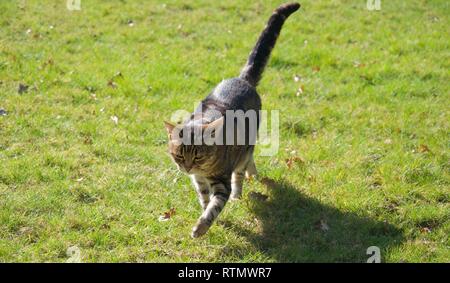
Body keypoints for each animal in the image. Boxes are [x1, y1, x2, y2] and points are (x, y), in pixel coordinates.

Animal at [163, 2, 300, 239]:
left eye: (198, 156)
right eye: (179, 155)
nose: (188, 168)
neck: (203, 171)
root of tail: (242, 79)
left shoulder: (221, 182)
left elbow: (214, 206)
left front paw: (201, 226)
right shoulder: (198, 181)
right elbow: (204, 199)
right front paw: (204, 211)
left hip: (246, 146)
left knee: (242, 169)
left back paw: (239, 193)